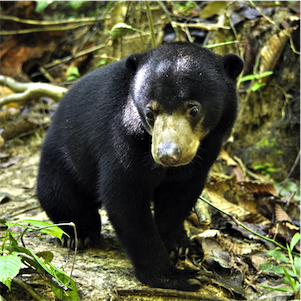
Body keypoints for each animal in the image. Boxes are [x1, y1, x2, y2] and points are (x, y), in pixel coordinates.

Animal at [38, 41, 244, 290]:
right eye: (150, 112)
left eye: (194, 109)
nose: (167, 155)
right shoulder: (122, 138)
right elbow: (126, 199)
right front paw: (177, 276)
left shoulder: (208, 148)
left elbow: (180, 195)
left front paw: (177, 245)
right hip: (62, 160)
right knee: (59, 195)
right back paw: (81, 234)